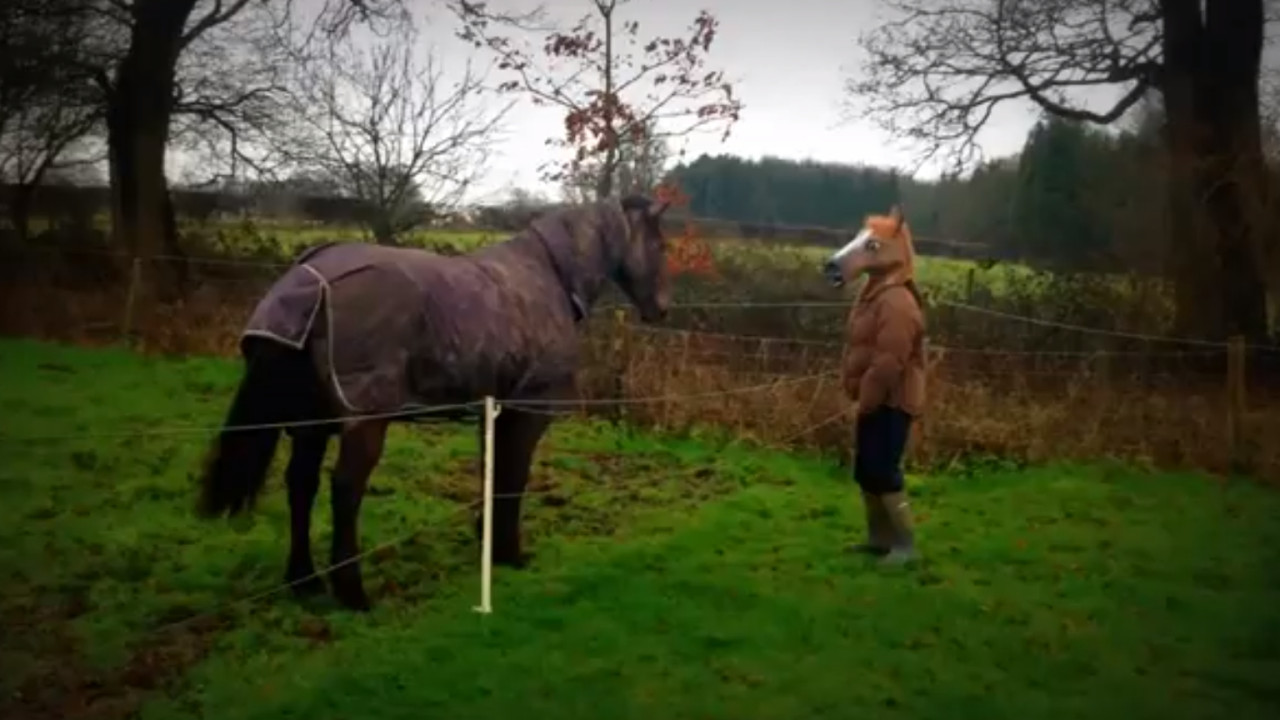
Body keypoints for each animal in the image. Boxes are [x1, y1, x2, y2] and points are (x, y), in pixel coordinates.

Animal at [195, 193, 675, 607]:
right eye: (659, 243)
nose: (663, 309)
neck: (548, 275)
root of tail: (309, 279)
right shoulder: (530, 410)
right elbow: (514, 477)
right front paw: (512, 554)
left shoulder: (492, 409)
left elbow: (492, 473)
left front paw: (489, 543)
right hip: (365, 418)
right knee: (345, 489)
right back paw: (353, 593)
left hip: (313, 422)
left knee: (301, 485)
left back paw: (305, 581)